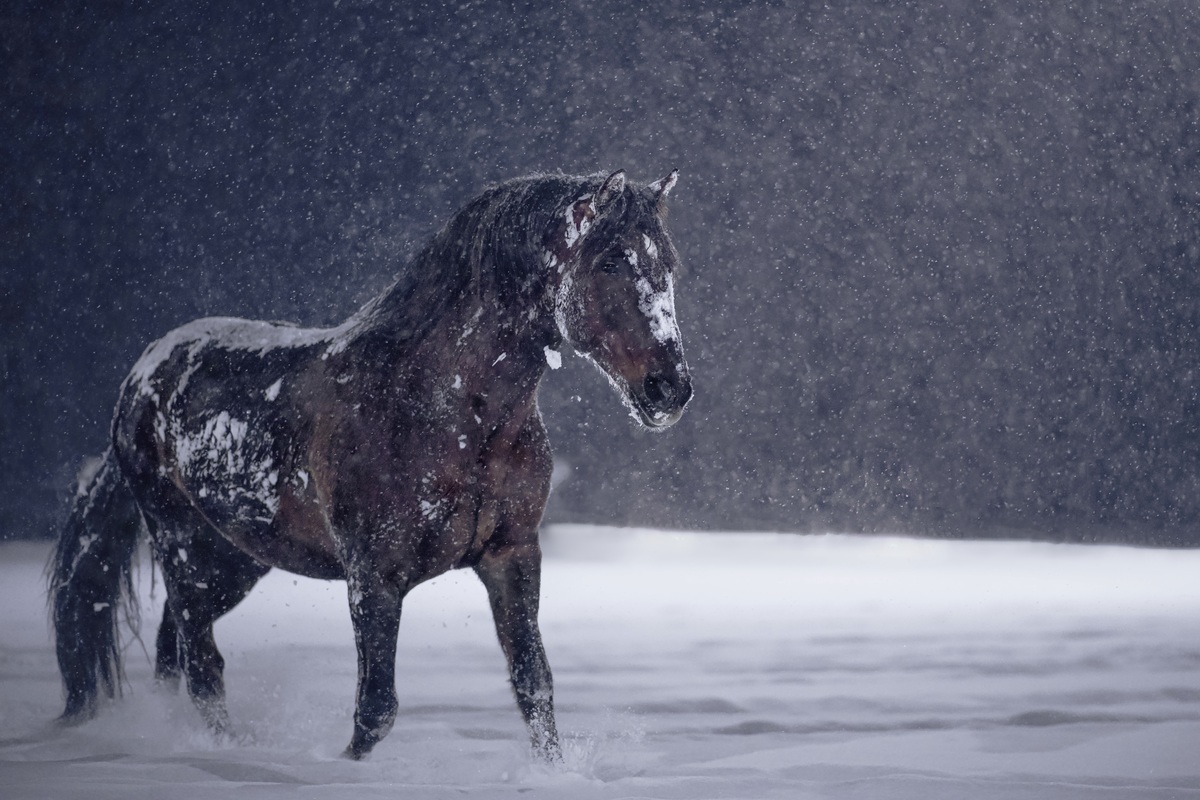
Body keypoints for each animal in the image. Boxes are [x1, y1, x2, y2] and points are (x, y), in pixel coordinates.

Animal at [46, 170, 696, 762]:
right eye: (609, 262)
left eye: (669, 266)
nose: (670, 389)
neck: (448, 412)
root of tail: (143, 374)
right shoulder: (373, 576)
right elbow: (376, 709)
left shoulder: (511, 556)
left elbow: (534, 687)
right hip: (180, 542)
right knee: (202, 662)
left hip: (234, 557)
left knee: (175, 648)